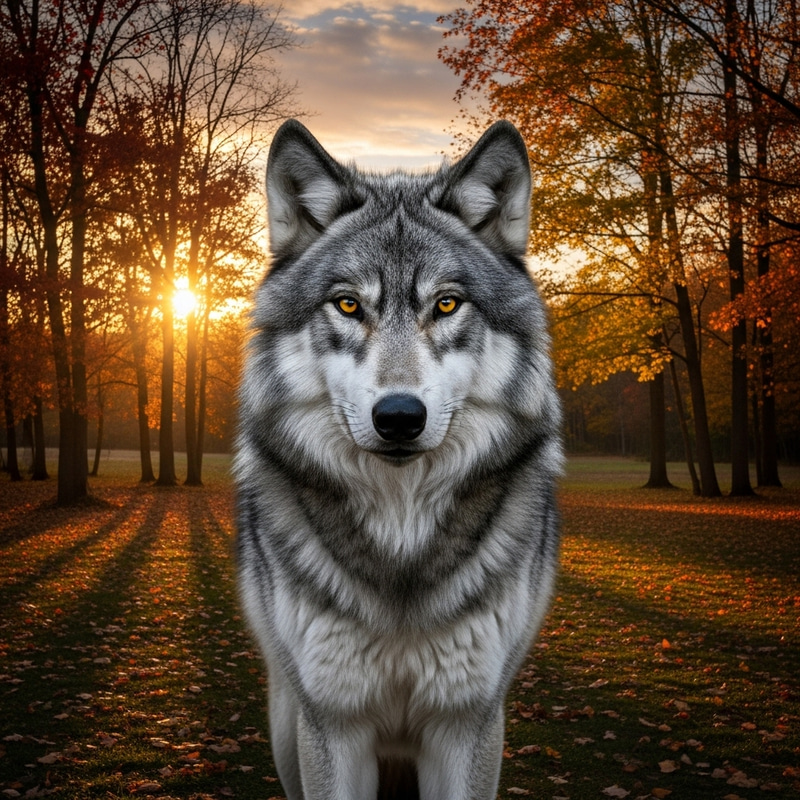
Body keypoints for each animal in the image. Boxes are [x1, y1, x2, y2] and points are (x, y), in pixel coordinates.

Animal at [235, 119, 562, 800]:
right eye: (348, 305)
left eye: (446, 304)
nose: (400, 417)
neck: (401, 528)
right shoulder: (331, 723)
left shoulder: (468, 722)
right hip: (285, 722)